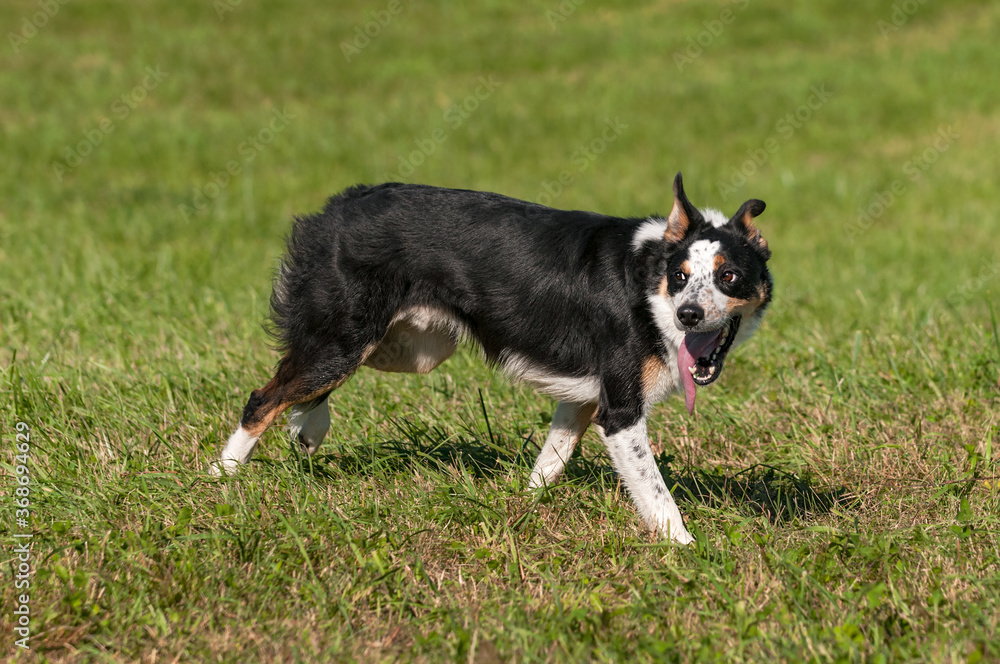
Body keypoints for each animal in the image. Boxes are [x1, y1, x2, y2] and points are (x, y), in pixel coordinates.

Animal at [213, 172, 772, 544]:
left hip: (406, 346)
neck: (648, 283)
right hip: (348, 338)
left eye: (728, 277)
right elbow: (658, 497)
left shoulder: (581, 400)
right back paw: (220, 479)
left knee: (299, 387)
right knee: (263, 398)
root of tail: (339, 206)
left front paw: (522, 508)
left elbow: (548, 464)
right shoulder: (620, 412)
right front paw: (689, 554)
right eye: (680, 277)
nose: (689, 315)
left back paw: (307, 429)